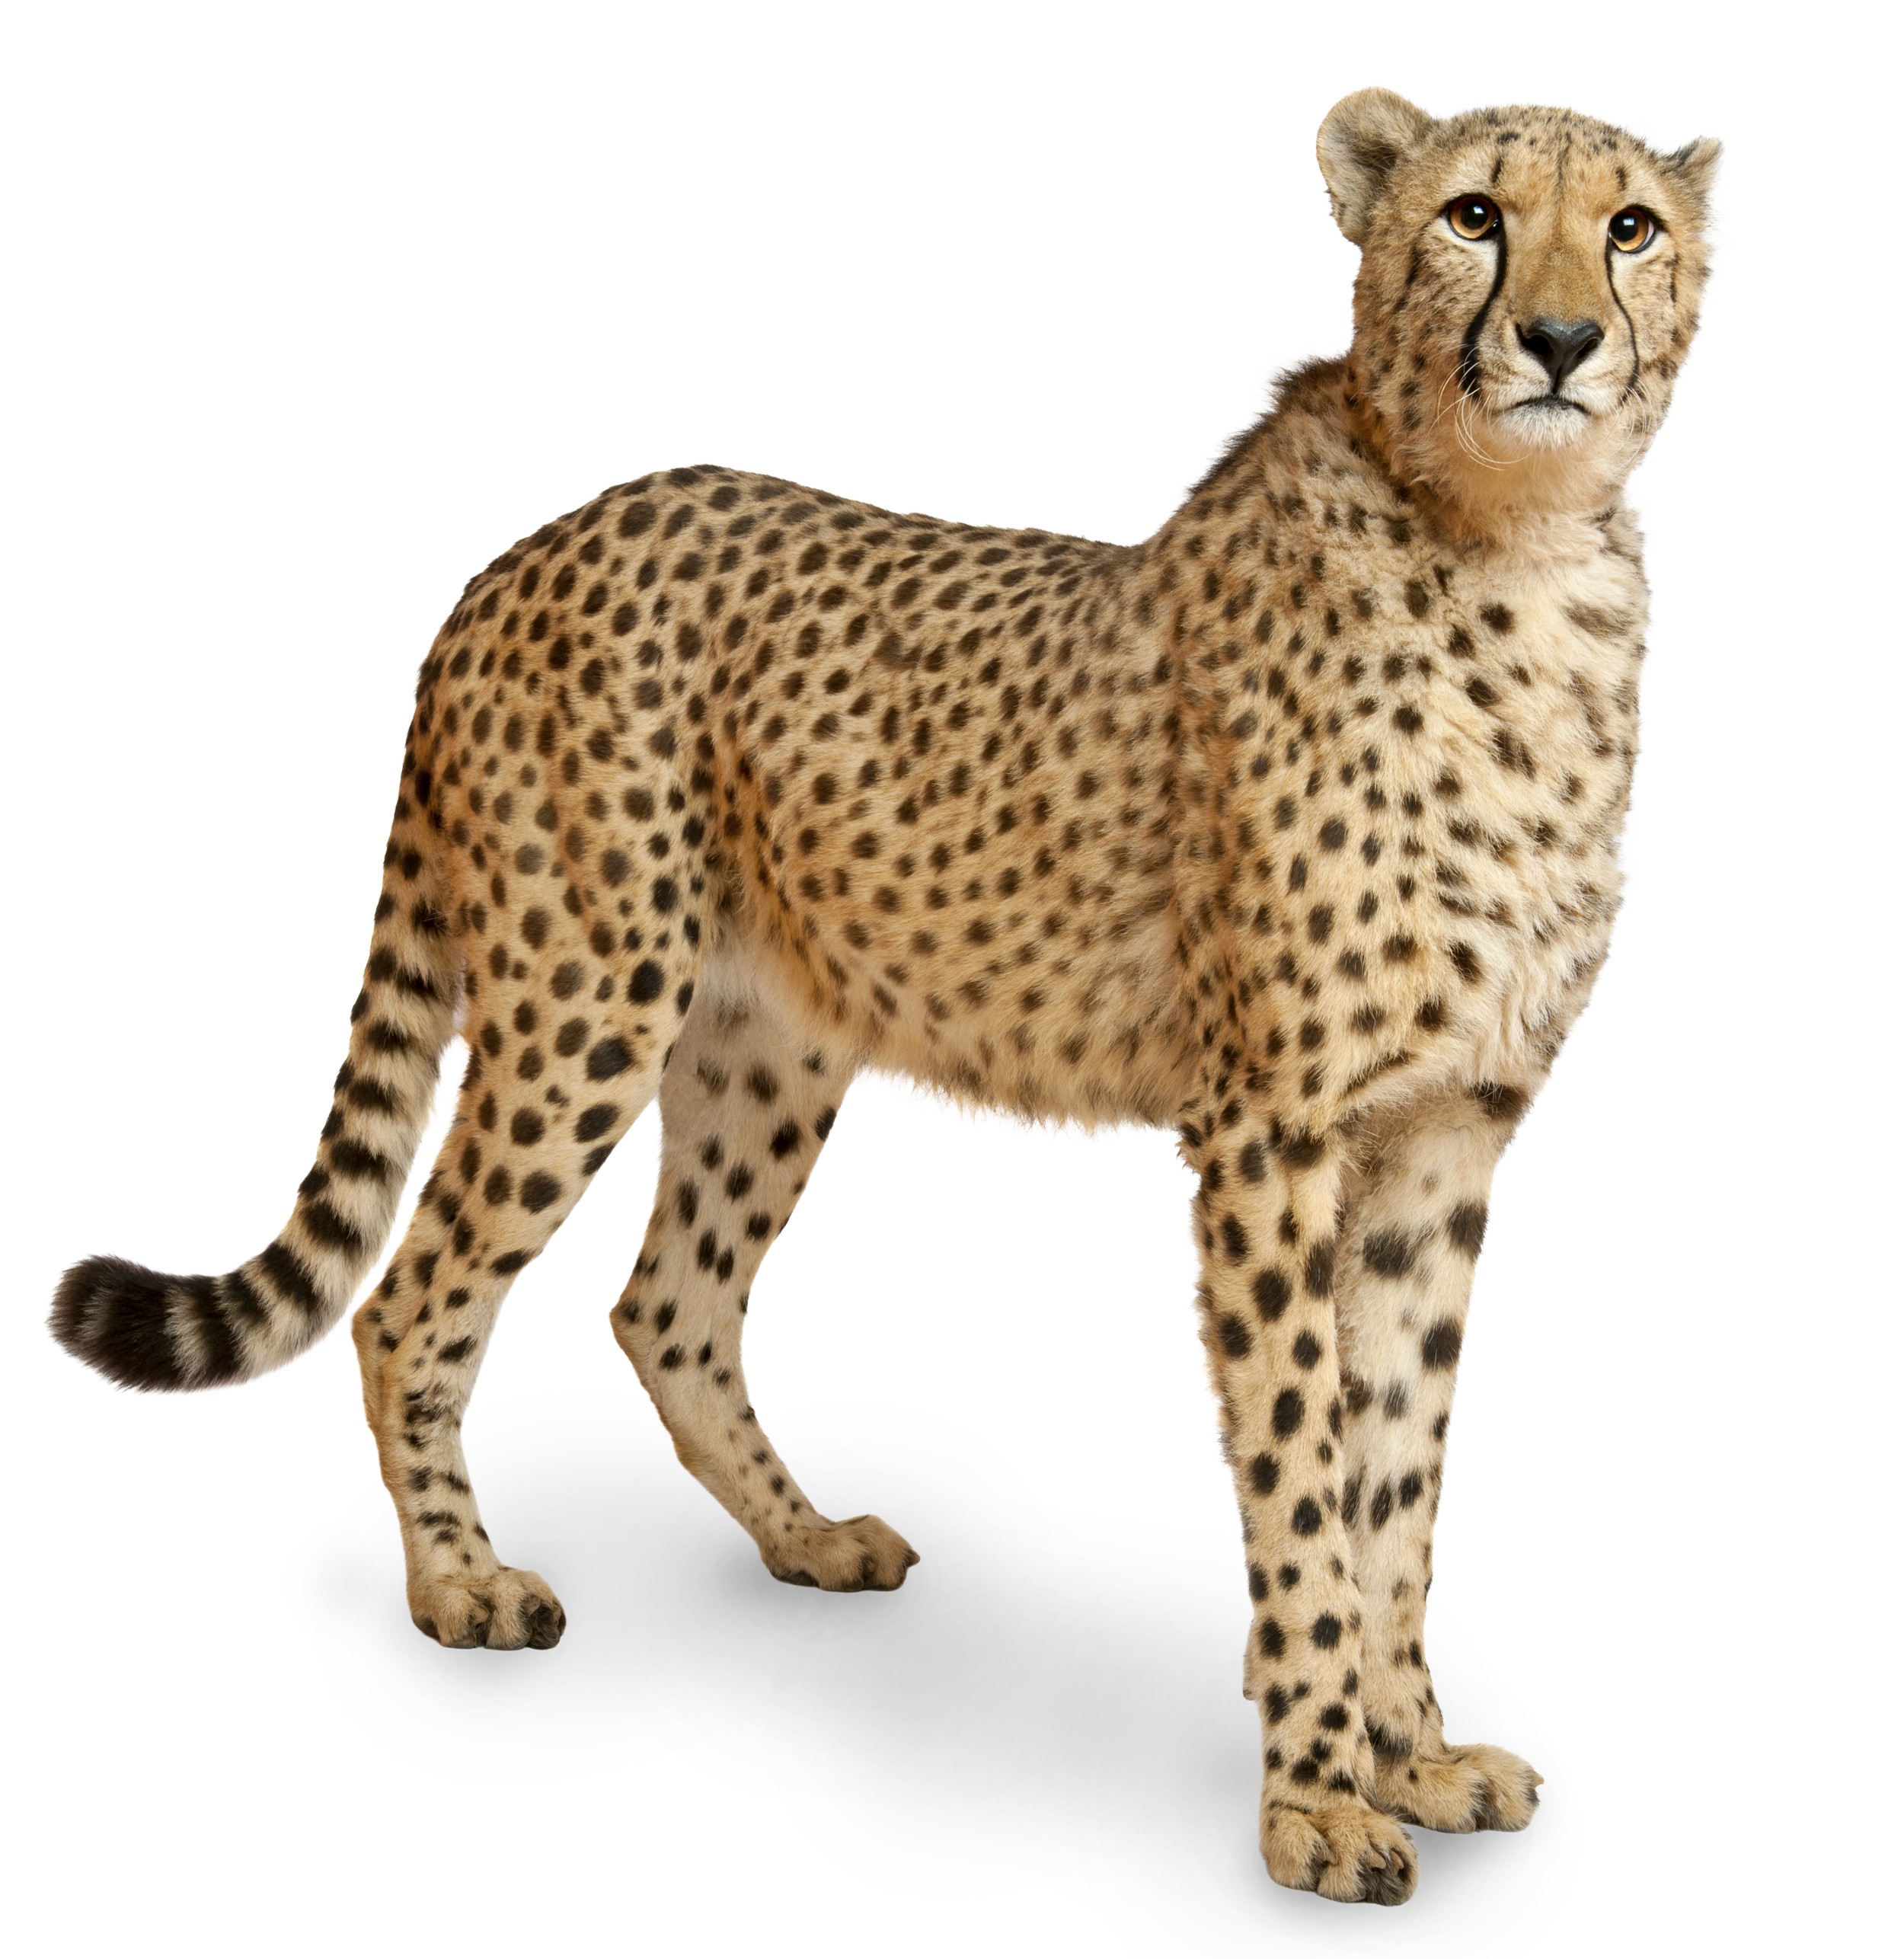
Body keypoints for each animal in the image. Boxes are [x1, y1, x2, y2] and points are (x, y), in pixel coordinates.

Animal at [47, 84, 1722, 1907]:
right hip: (586, 996)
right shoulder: (1273, 1134)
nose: (1558, 338)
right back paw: (462, 1590)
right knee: (414, 1291)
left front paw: (1408, 1752)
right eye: (1475, 215)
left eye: (1628, 227)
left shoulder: (1441, 1135)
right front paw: (1317, 1804)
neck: (1510, 544)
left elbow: (1396, 1474)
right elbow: (1298, 1470)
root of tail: (527, 547)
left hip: (763, 1038)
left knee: (666, 1296)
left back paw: (804, 1535)